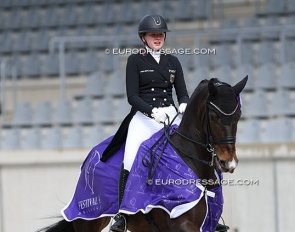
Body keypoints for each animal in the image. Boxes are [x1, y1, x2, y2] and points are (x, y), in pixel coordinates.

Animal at [37, 76, 250, 232]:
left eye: (238, 115)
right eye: (213, 116)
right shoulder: (180, 222)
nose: (228, 163)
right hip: (88, 217)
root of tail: (91, 158)